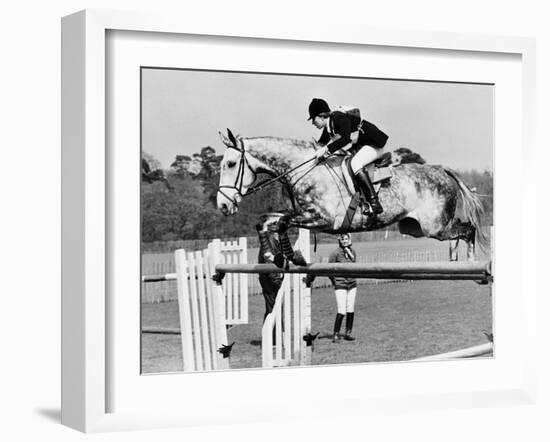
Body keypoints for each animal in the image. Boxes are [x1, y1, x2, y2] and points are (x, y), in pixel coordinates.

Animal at [216, 129, 488, 258]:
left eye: (230, 164)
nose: (222, 205)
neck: (303, 168)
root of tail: (441, 170)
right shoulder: (301, 213)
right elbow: (266, 220)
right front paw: (272, 255)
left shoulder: (322, 220)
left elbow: (282, 223)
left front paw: (289, 257)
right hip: (415, 228)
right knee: (462, 232)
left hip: (435, 227)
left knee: (468, 230)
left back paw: (471, 265)